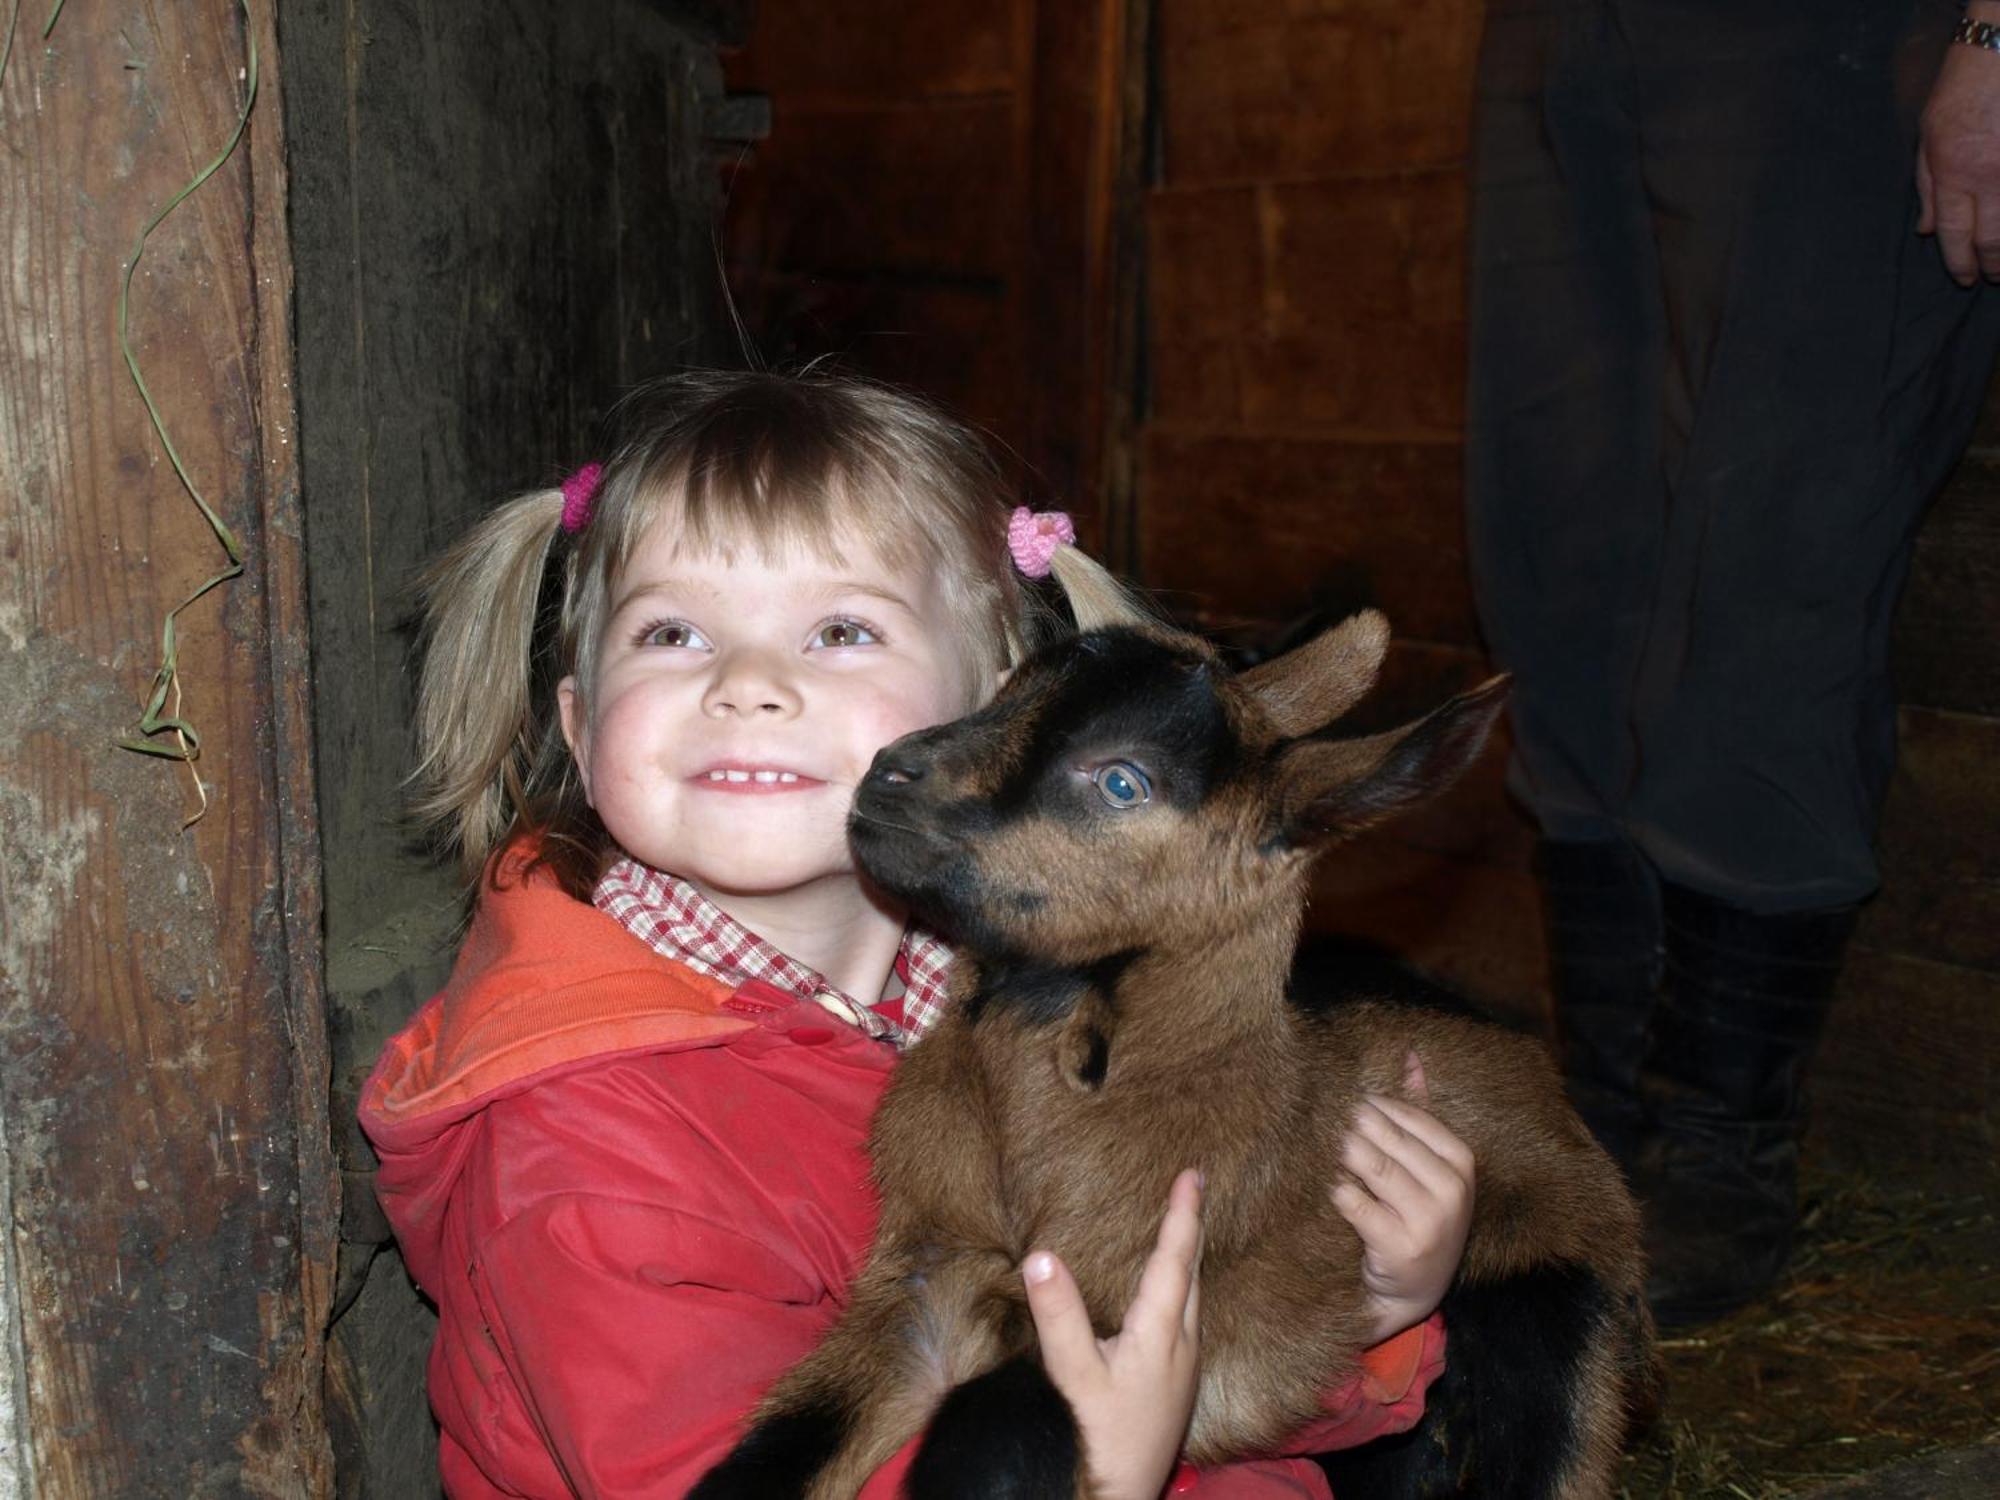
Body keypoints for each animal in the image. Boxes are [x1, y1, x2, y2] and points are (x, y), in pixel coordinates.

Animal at [696, 604, 1664, 1500]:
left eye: (1123, 781)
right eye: (1006, 694)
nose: (888, 776)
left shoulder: (1130, 1314)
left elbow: (992, 1428)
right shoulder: (923, 1285)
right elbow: (790, 1443)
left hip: (1556, 1314)